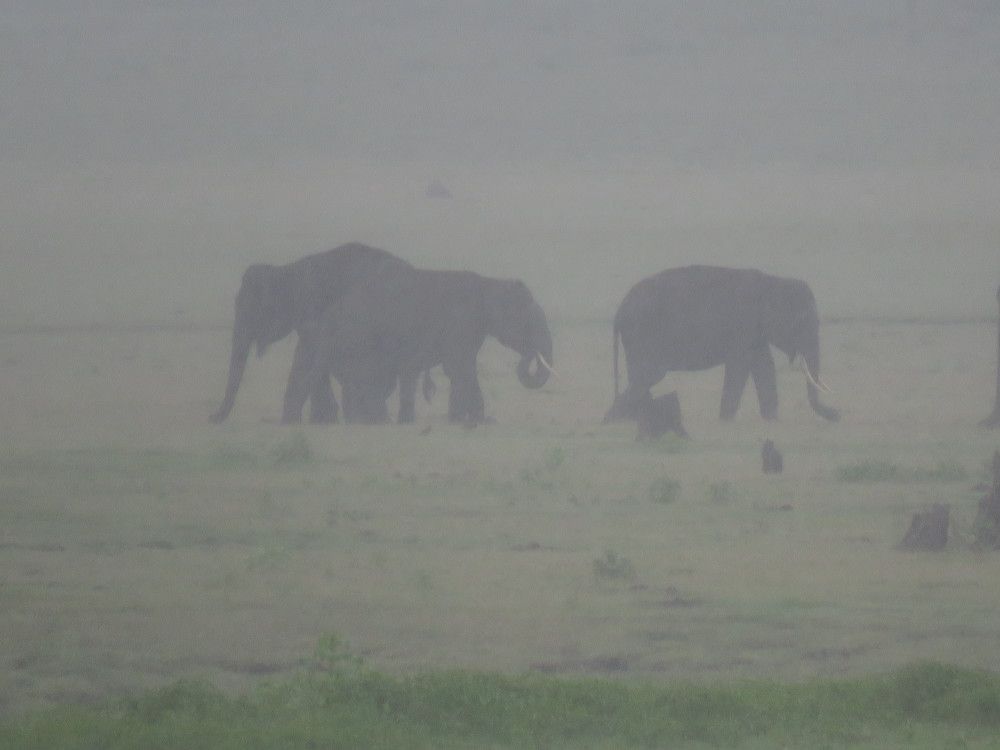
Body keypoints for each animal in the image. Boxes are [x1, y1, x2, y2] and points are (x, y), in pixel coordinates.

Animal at [209, 242, 415, 424]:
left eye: (254, 309)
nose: (211, 418)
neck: (288, 270)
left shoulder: (313, 310)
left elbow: (307, 355)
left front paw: (295, 421)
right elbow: (309, 354)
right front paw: (322, 420)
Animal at [296, 267, 554, 426]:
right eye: (527, 323)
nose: (532, 353)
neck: (489, 283)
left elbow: (458, 370)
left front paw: (459, 420)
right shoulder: (460, 324)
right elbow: (461, 368)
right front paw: (480, 421)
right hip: (358, 340)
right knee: (363, 379)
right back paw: (374, 421)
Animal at [604, 265, 839, 423]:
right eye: (802, 322)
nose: (836, 414)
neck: (772, 282)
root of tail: (619, 312)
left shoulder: (754, 334)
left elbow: (764, 366)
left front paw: (771, 419)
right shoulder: (743, 327)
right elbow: (739, 367)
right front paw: (726, 420)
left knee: (640, 378)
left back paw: (631, 418)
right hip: (643, 336)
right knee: (648, 376)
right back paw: (616, 419)